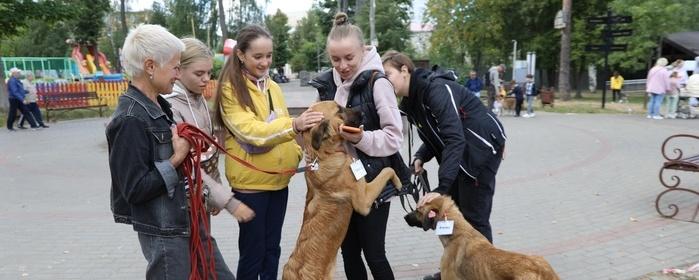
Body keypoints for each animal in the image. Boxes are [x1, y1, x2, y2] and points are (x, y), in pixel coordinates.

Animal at [282, 101, 402, 280]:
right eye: (339, 110)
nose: (362, 112)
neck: (323, 155)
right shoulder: (363, 201)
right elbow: (387, 170)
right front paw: (399, 182)